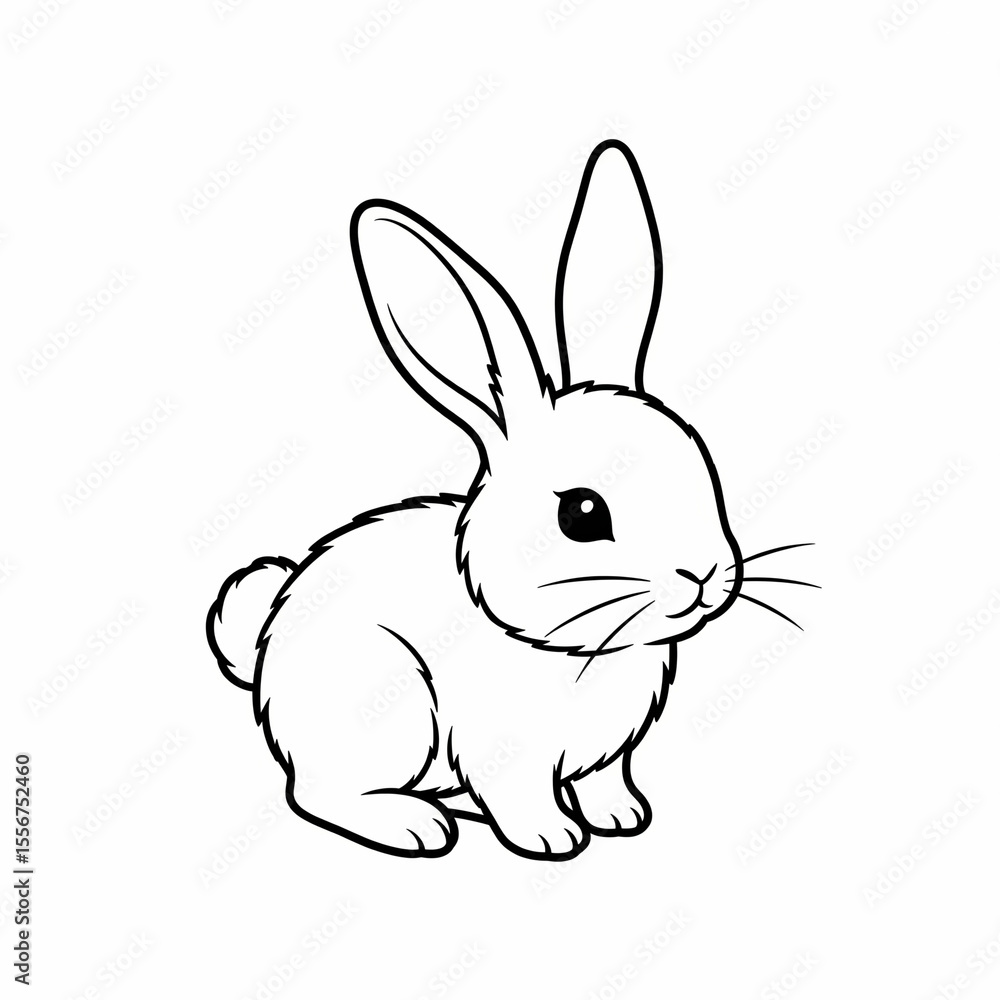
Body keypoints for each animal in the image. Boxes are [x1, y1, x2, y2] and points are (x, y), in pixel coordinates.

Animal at [207, 140, 746, 860]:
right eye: (582, 513)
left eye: (703, 468)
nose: (705, 575)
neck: (577, 648)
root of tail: (265, 654)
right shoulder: (502, 751)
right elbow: (521, 796)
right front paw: (553, 838)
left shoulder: (607, 756)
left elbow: (605, 780)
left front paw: (623, 815)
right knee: (315, 794)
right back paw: (414, 824)